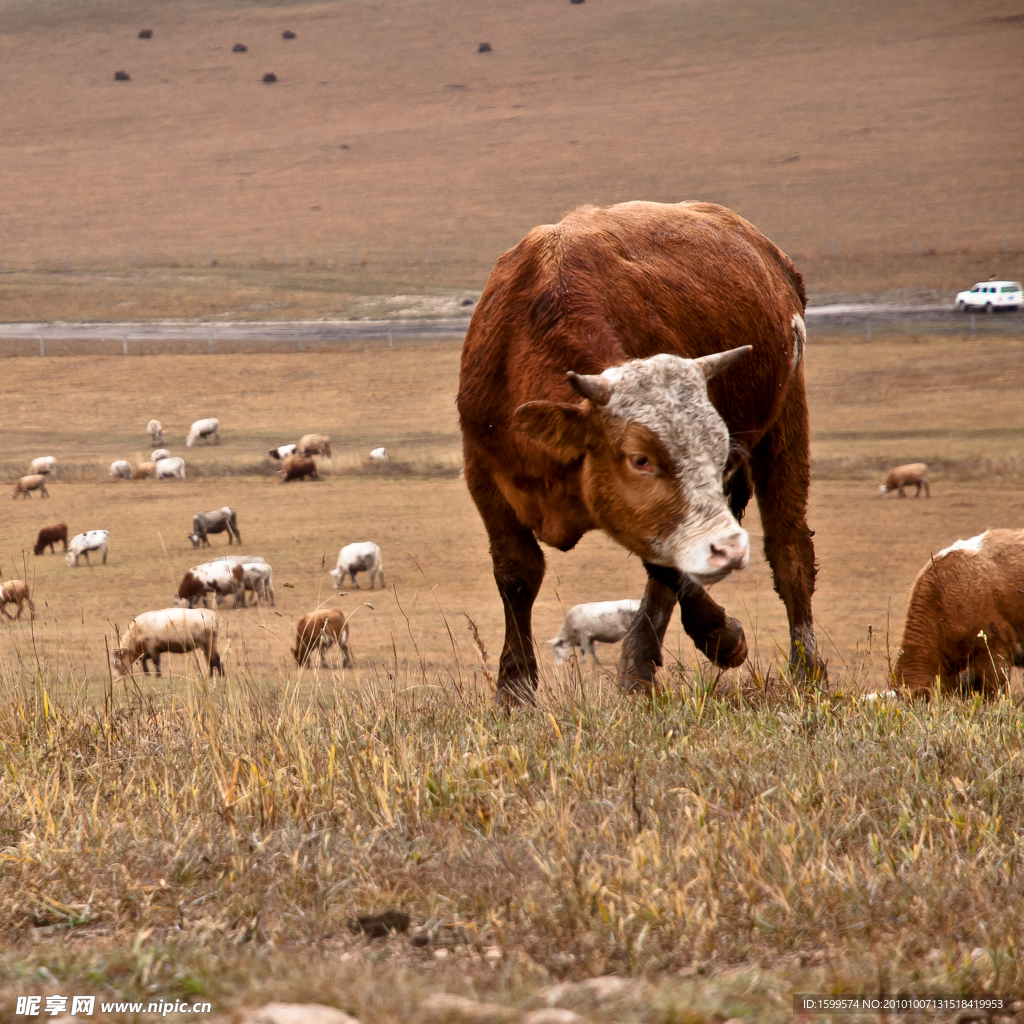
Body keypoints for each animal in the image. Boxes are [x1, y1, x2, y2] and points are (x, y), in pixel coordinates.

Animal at [458, 199, 823, 704]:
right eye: (640, 458)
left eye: (716, 447)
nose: (730, 550)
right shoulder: (484, 474)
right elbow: (516, 574)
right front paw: (514, 690)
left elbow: (667, 563)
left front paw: (721, 636)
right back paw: (638, 667)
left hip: (786, 423)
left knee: (790, 553)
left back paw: (806, 671)